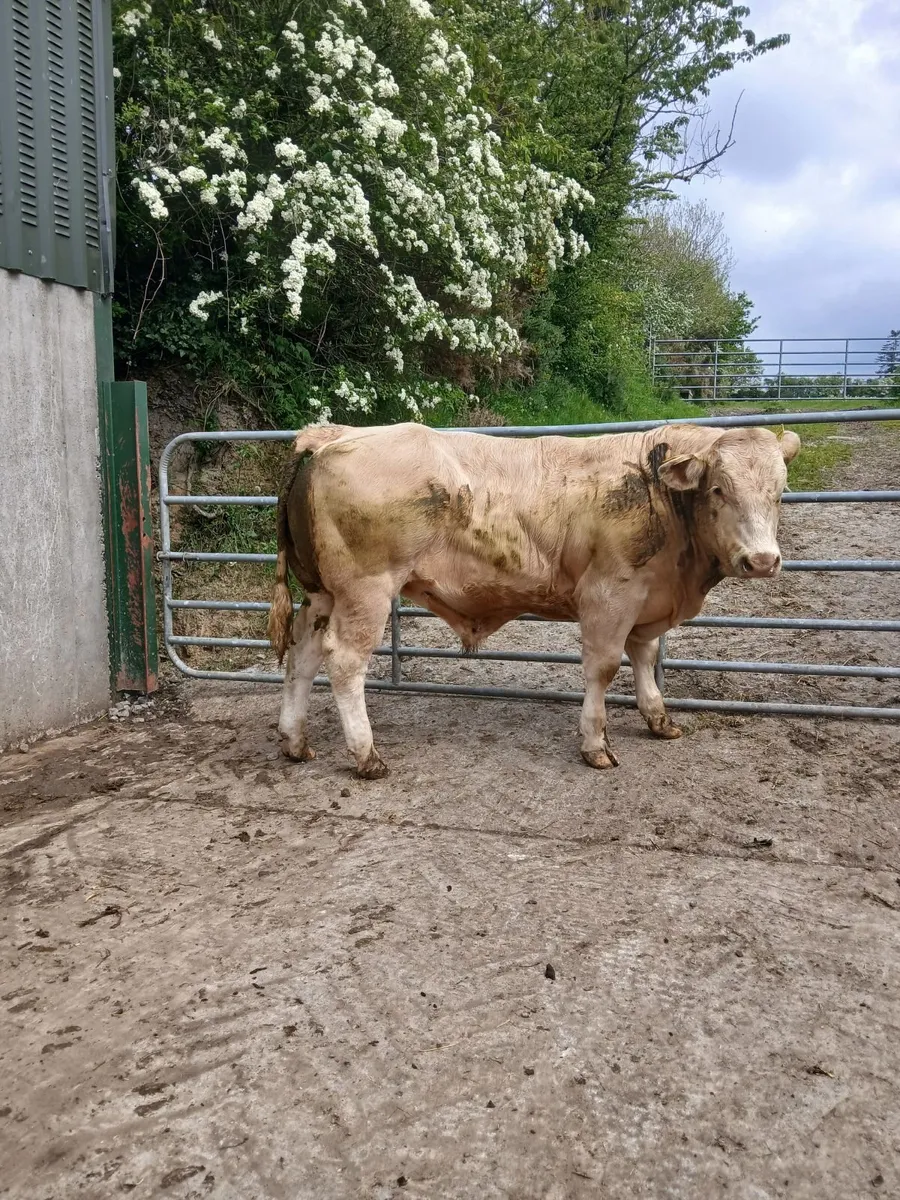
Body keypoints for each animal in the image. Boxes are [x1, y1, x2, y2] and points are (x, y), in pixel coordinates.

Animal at [267, 421, 801, 778]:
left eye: (779, 492)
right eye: (719, 488)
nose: (762, 560)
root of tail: (332, 435)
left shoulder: (647, 601)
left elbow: (645, 658)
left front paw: (658, 719)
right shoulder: (608, 595)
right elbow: (605, 667)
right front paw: (595, 743)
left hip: (322, 593)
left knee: (303, 653)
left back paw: (294, 740)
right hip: (366, 590)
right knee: (344, 662)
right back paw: (367, 756)